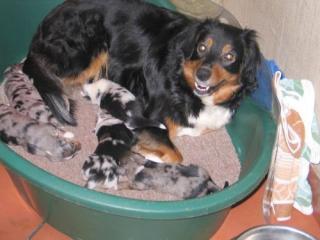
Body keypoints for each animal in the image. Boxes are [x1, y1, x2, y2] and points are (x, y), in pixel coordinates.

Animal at [23, 0, 262, 163]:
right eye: (202, 47)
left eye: (229, 56)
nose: (202, 74)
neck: (185, 88)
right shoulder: (152, 120)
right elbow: (176, 155)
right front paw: (147, 154)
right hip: (88, 50)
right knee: (31, 70)